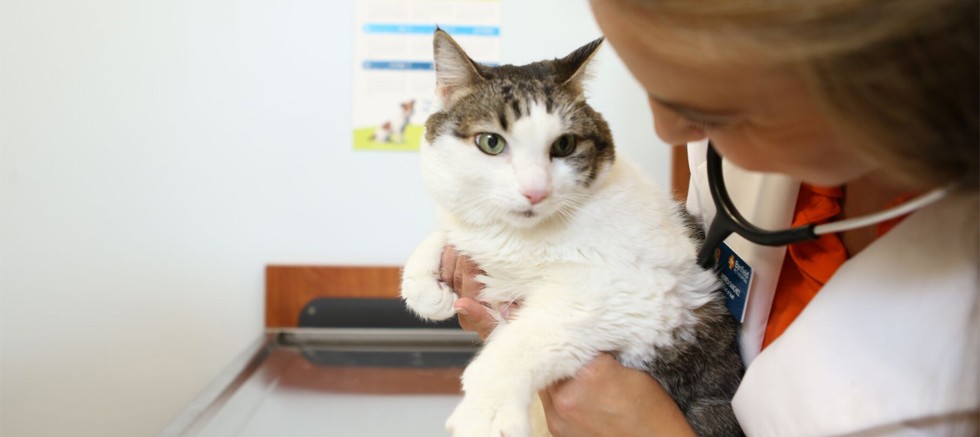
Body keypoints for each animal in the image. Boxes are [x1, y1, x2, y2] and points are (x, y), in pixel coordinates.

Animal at [401, 29, 744, 437]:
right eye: (491, 142)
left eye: (563, 145)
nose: (536, 191)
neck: (518, 236)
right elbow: (453, 228)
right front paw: (423, 285)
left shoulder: (644, 295)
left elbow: (523, 339)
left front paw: (486, 411)